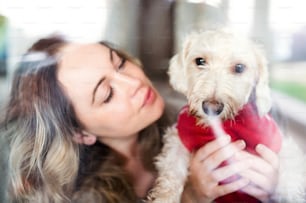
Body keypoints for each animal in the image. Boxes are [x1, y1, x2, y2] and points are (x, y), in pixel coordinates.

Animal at [147, 29, 304, 202]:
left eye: (239, 67)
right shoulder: (178, 139)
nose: (211, 107)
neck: (226, 125)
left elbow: (290, 173)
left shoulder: (277, 142)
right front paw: (164, 197)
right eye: (200, 61)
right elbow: (171, 172)